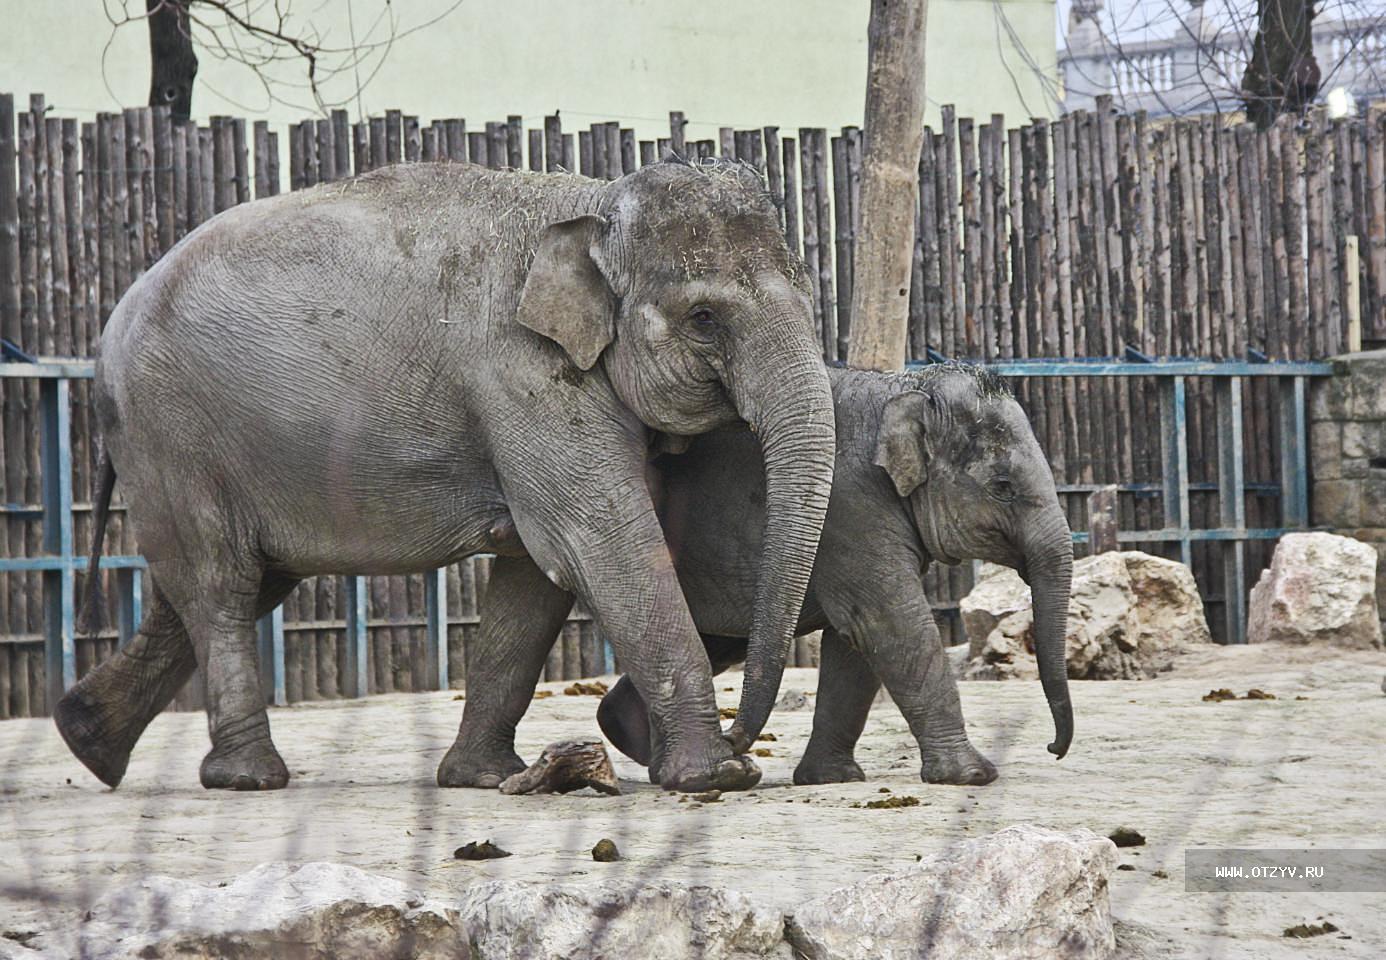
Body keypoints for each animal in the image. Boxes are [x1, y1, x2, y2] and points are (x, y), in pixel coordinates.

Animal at [62, 157, 831, 792]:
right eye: (703, 318)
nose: (744, 739)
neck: (593, 203)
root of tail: (108, 328)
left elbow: (535, 580)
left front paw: (481, 778)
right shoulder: (525, 375)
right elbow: (596, 543)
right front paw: (716, 778)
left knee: (224, 587)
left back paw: (88, 742)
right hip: (170, 433)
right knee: (222, 587)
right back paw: (247, 779)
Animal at [449, 362, 1075, 792]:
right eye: (1003, 487)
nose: (1052, 748)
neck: (899, 389)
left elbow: (853, 643)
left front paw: (832, 780)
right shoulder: (851, 509)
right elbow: (886, 620)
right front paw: (974, 776)